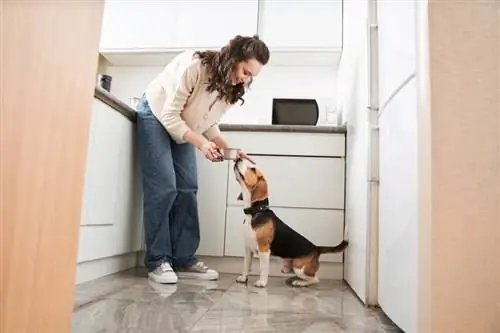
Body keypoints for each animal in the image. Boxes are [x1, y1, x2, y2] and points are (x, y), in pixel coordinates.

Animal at [233, 157, 348, 286]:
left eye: (253, 169)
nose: (238, 158)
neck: (255, 212)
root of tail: (317, 248)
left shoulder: (264, 249)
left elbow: (263, 269)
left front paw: (262, 283)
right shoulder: (248, 249)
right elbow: (246, 266)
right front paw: (244, 278)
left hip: (299, 267)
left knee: (315, 279)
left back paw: (299, 283)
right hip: (288, 268)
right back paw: (292, 280)